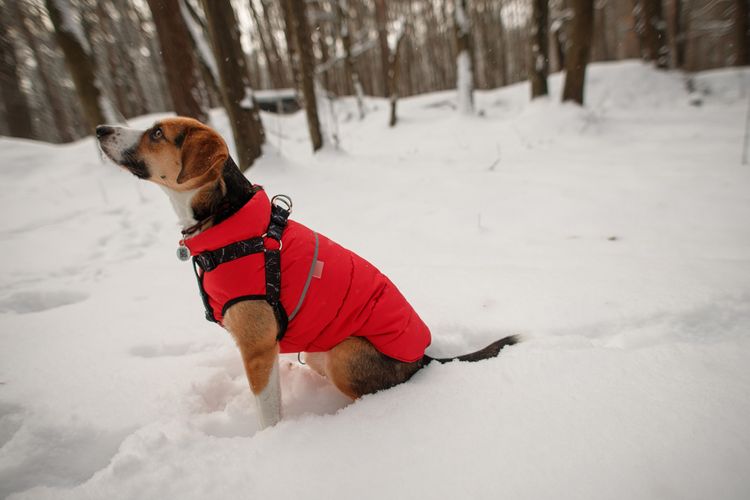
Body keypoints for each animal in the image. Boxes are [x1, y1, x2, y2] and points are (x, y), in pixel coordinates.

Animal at [97, 118, 520, 430]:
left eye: (157, 133)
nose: (100, 129)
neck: (228, 220)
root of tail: (424, 358)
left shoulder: (256, 348)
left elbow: (267, 415)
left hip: (344, 353)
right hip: (319, 352)